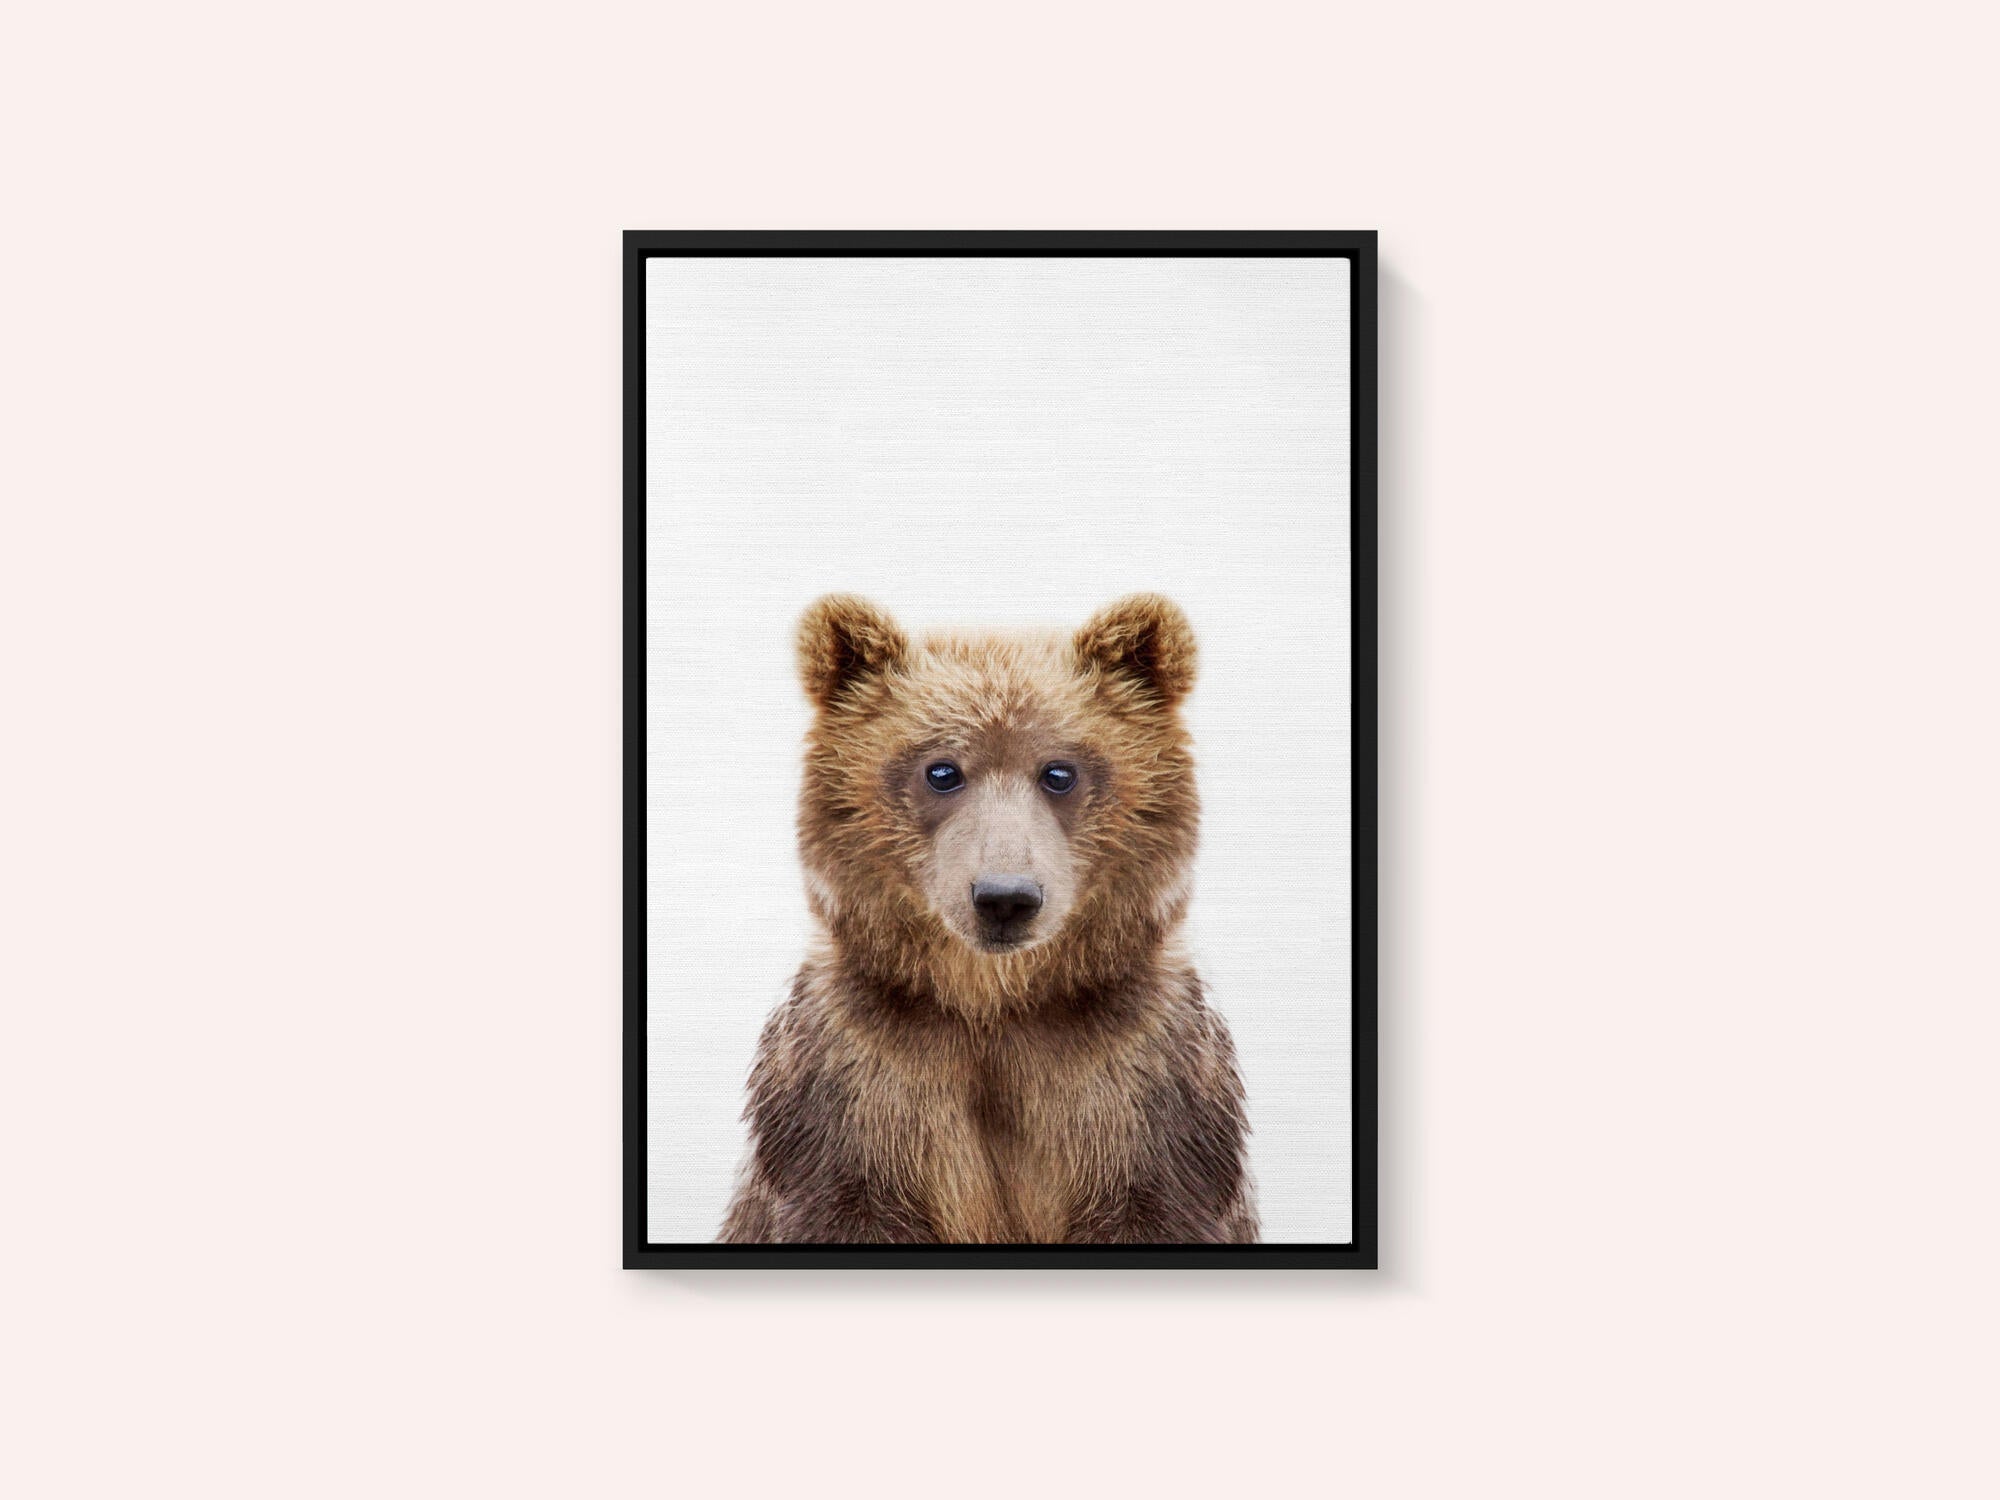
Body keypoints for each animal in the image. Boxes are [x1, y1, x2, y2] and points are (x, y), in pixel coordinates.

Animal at [718, 593, 1256, 1244]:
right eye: (942, 770)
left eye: (1059, 771)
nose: (1005, 897)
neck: (995, 1004)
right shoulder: (856, 1084)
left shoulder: (1140, 1084)